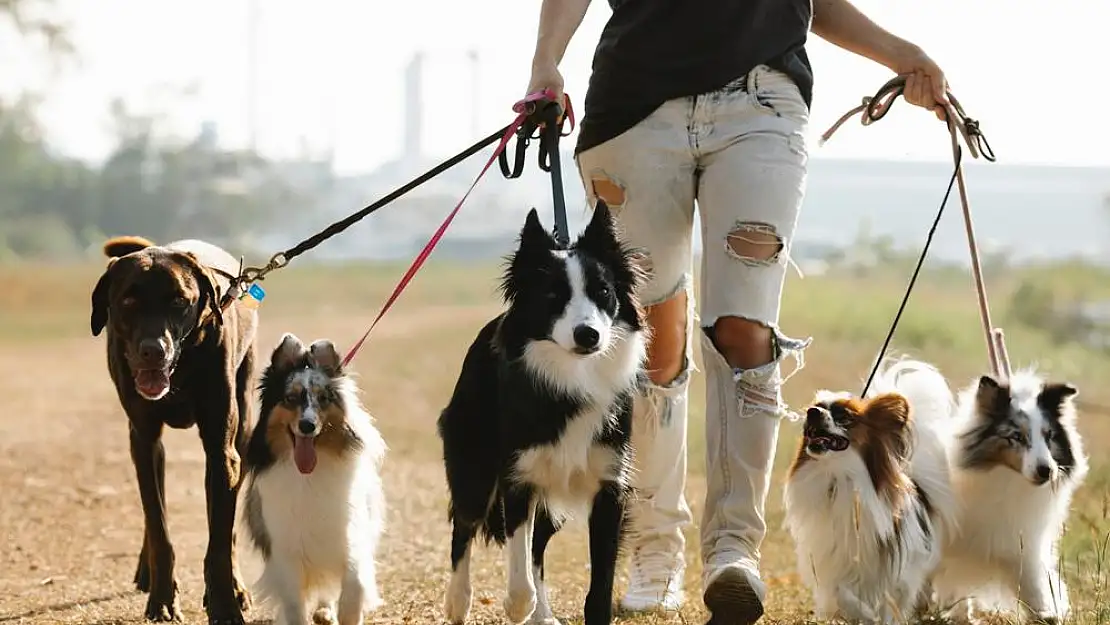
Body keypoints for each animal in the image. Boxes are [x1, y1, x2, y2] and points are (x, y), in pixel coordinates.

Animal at [89, 236, 258, 625]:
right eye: (128, 302)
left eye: (180, 301)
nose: (153, 351)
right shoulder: (144, 439)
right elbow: (158, 527)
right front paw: (163, 598)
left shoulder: (221, 451)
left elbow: (219, 541)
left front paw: (225, 604)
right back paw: (146, 571)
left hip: (243, 427)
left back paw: (237, 587)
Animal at [239, 335, 386, 625]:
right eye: (290, 398)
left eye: (323, 398)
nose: (307, 426)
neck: (308, 476)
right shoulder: (285, 551)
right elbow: (295, 606)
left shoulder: (349, 537)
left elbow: (354, 587)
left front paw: (346, 613)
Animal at [439, 202, 648, 625]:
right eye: (553, 295)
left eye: (603, 292)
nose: (589, 335)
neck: (571, 376)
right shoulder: (518, 477)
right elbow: (519, 571)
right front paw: (516, 606)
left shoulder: (610, 485)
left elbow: (598, 586)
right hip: (474, 463)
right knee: (464, 525)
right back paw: (458, 601)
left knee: (537, 547)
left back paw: (542, 613)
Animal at [781, 359, 963, 621]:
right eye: (816, 408)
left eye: (844, 416)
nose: (811, 412)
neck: (838, 478)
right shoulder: (833, 560)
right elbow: (842, 593)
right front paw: (862, 614)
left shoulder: (897, 571)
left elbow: (889, 604)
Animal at [932, 370, 1087, 625]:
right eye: (1016, 436)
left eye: (1049, 435)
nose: (1046, 471)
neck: (1006, 481)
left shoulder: (1022, 544)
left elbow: (1034, 588)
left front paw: (1048, 614)